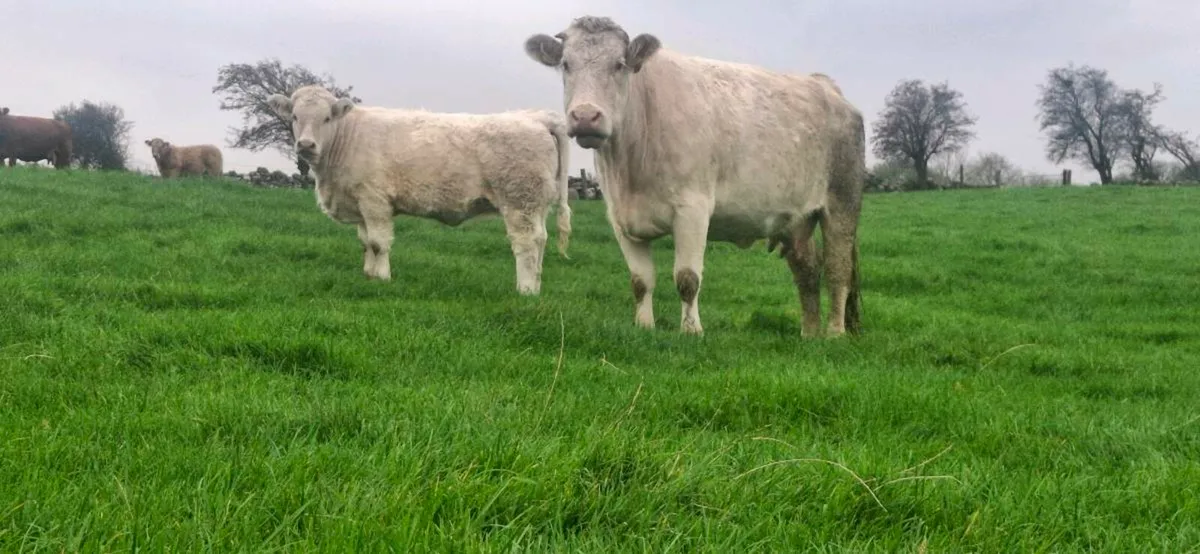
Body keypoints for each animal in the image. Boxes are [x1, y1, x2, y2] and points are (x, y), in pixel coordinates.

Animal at [264, 85, 573, 296]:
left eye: (327, 118)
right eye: (294, 116)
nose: (306, 145)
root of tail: (538, 118)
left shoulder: (374, 200)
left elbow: (378, 242)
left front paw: (383, 278)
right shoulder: (360, 204)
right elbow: (365, 242)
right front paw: (368, 274)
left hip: (520, 201)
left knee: (526, 244)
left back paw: (525, 290)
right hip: (536, 205)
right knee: (541, 240)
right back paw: (536, 284)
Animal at [523, 16, 866, 337]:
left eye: (619, 65)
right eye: (566, 65)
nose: (585, 116)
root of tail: (826, 87)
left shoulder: (693, 210)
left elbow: (687, 278)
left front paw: (691, 330)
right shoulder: (620, 218)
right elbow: (640, 280)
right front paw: (644, 325)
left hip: (841, 203)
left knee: (837, 269)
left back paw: (834, 333)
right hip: (797, 218)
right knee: (807, 270)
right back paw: (809, 334)